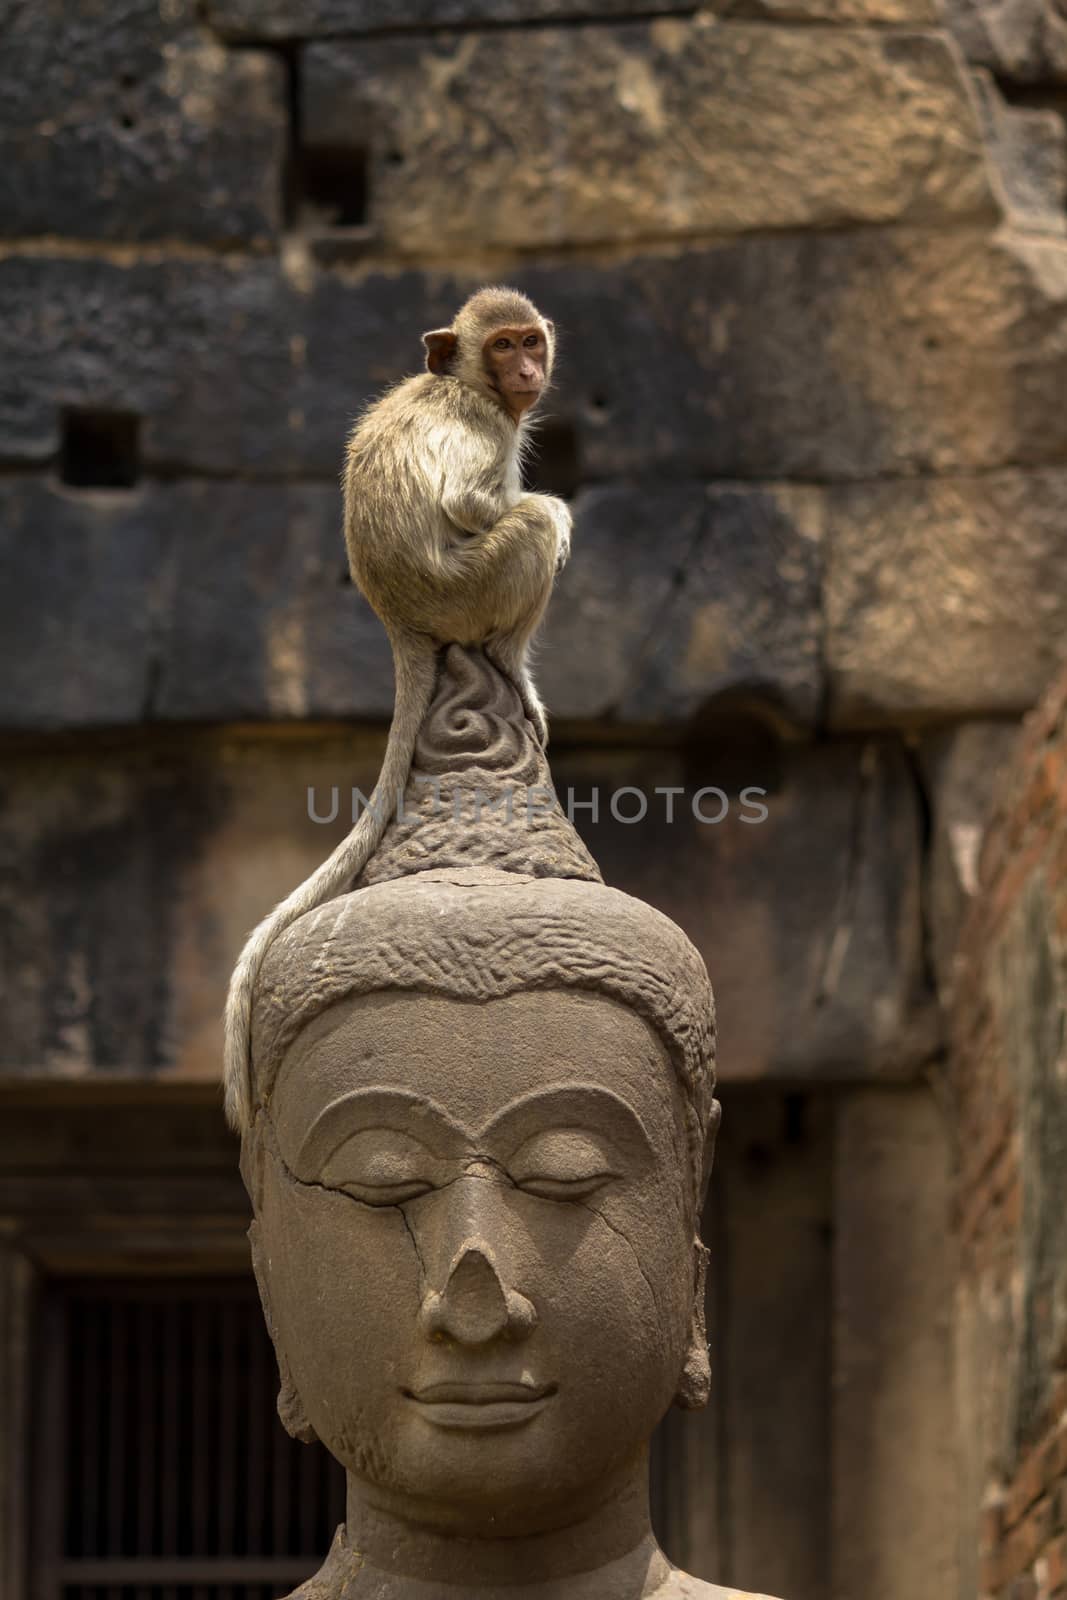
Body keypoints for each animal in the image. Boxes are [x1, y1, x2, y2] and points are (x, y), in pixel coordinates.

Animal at [223, 284, 575, 1126]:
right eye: (504, 345)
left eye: (530, 341)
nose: (527, 370)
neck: (468, 386)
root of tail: (398, 618)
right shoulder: (484, 427)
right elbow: (473, 501)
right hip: (468, 594)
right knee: (532, 519)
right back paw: (512, 665)